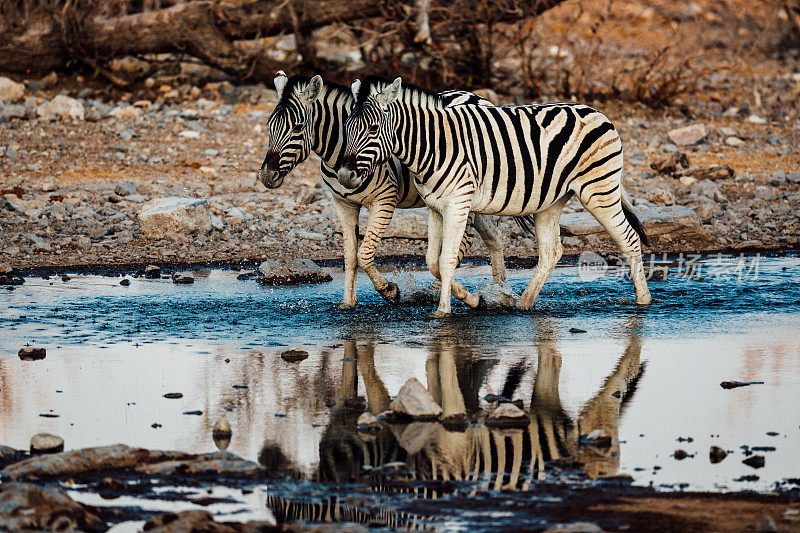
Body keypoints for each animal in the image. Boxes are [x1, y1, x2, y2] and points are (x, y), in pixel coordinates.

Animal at [262, 72, 512, 310]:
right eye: (269, 126)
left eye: (297, 127)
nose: (266, 176)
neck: (338, 155)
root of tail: (477, 96)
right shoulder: (343, 204)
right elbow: (350, 256)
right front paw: (347, 303)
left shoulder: (384, 200)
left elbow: (364, 254)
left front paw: (389, 290)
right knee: (494, 238)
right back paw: (501, 290)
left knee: (464, 243)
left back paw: (446, 293)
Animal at [334, 75, 652, 316]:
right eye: (345, 128)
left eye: (373, 128)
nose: (345, 175)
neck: (431, 145)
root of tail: (597, 111)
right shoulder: (435, 208)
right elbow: (433, 261)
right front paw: (471, 300)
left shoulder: (457, 203)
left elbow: (447, 259)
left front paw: (443, 312)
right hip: (551, 201)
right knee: (551, 251)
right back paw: (524, 304)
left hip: (599, 190)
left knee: (629, 239)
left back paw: (643, 301)